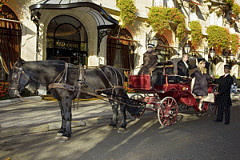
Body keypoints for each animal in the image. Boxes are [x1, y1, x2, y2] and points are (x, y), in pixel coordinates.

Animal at [8, 58, 136, 140]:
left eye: (15, 75)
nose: (11, 93)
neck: (58, 74)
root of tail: (117, 70)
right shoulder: (60, 99)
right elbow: (63, 115)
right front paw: (61, 131)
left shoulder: (66, 98)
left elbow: (68, 115)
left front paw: (67, 134)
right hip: (109, 93)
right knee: (114, 106)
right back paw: (113, 124)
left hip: (117, 92)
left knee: (122, 107)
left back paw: (123, 126)